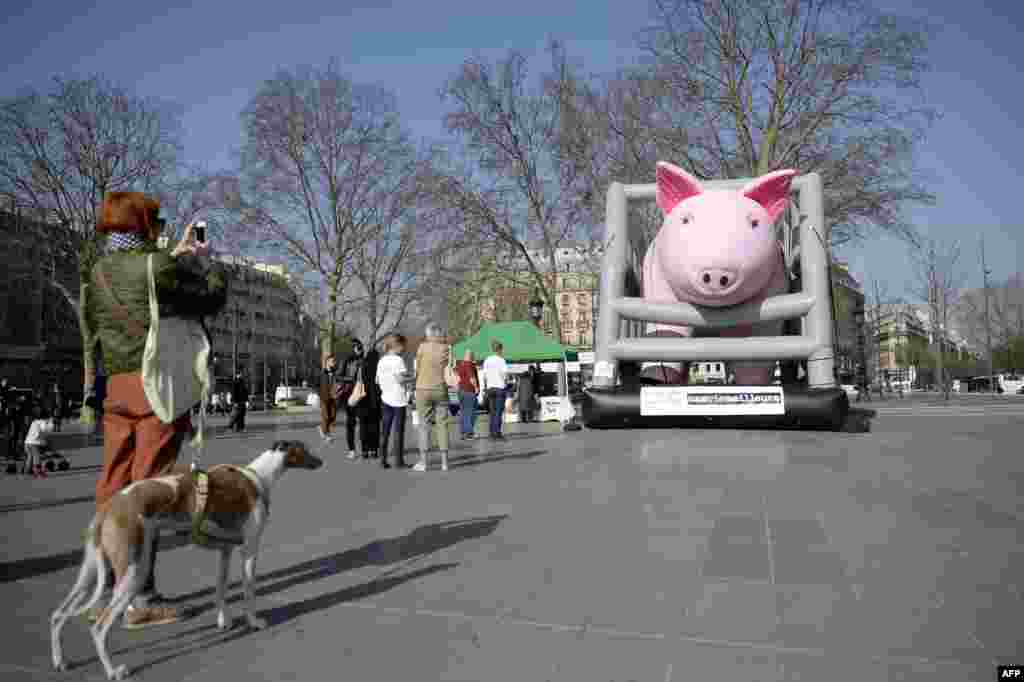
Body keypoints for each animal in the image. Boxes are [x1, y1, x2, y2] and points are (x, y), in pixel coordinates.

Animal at [50, 438, 323, 675]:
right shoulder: (249, 550)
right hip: (134, 571)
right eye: (305, 450)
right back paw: (113, 671)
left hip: (90, 574)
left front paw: (224, 621)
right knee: (98, 628)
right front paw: (253, 622)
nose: (321, 461)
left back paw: (60, 661)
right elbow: (248, 591)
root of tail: (110, 505)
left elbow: (221, 588)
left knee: (58, 614)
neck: (259, 477)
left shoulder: (225, 551)